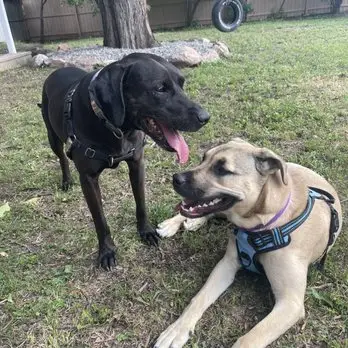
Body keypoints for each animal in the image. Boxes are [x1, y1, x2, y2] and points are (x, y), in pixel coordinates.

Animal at [40, 53, 209, 270]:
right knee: (61, 157)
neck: (114, 125)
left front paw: (146, 231)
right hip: (52, 136)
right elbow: (100, 219)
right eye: (160, 88)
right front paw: (106, 251)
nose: (205, 117)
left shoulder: (137, 165)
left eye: (182, 84)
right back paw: (67, 180)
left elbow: (141, 203)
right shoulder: (88, 179)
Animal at [155, 138, 342, 348]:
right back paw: (173, 224)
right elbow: (199, 299)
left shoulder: (290, 303)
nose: (176, 178)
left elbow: (250, 338)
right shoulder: (226, 265)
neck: (266, 222)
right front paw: (177, 329)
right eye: (203, 158)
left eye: (222, 169)